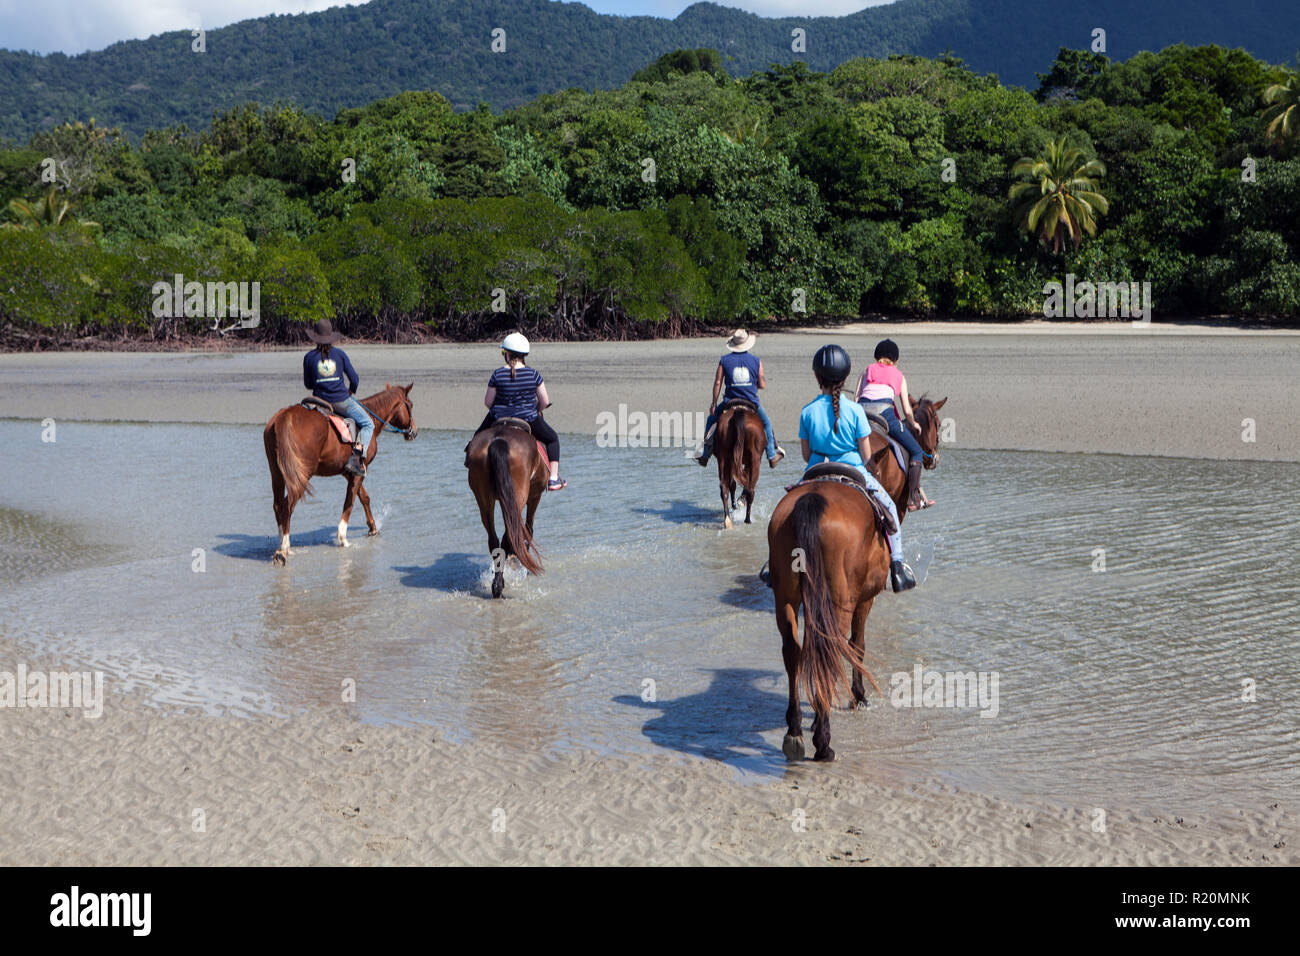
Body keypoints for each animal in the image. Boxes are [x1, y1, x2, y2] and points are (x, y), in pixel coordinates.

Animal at [262, 382, 416, 566]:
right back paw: (284, 549)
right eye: (410, 405)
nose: (414, 431)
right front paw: (343, 537)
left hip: (277, 472)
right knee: (288, 505)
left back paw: (281, 545)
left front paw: (372, 528)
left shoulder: (350, 472)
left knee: (278, 505)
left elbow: (363, 498)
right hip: (301, 475)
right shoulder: (359, 471)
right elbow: (350, 502)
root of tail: (285, 417)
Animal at [466, 420, 547, 598]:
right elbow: (528, 530)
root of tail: (499, 440)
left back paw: (497, 584)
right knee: (510, 534)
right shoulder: (535, 496)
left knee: (494, 540)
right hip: (518, 497)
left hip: (484, 499)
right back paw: (500, 584)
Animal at [766, 477, 893, 762]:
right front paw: (859, 696)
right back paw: (823, 742)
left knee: (794, 651)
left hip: (786, 597)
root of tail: (812, 500)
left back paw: (795, 732)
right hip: (839, 600)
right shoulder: (864, 600)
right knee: (831, 650)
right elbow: (857, 646)